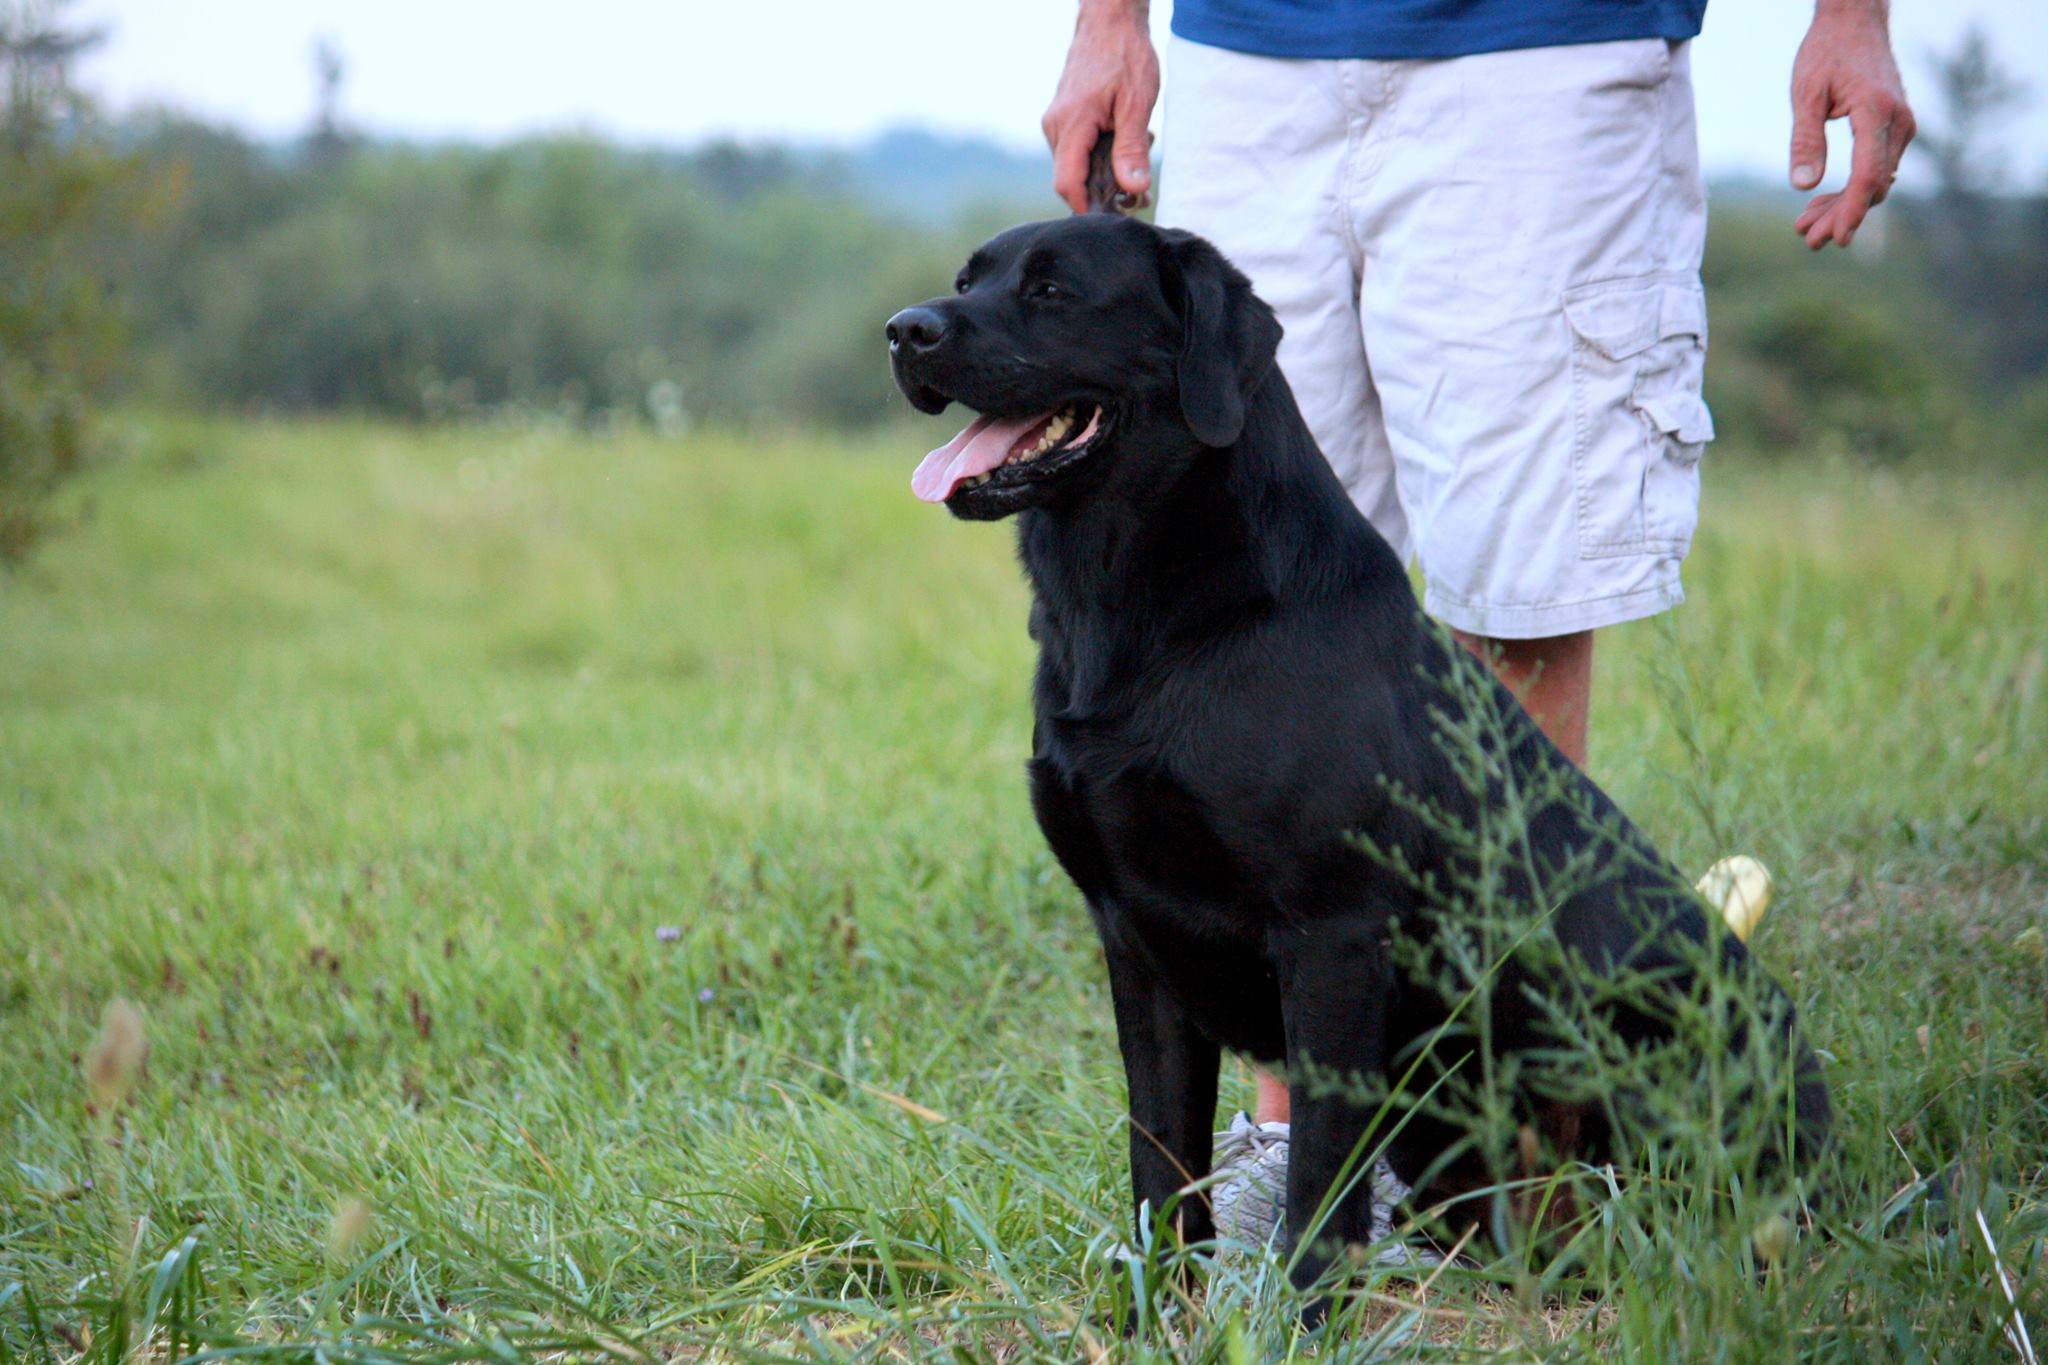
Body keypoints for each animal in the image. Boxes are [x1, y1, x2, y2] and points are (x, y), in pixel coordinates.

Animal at [888, 213, 1835, 1309]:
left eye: (1051, 290)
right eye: (968, 280)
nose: (904, 331)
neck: (1144, 610)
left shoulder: (1333, 930)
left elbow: (1320, 1171)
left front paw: (1305, 1315)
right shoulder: (1133, 934)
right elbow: (1159, 1162)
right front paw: (1155, 1309)